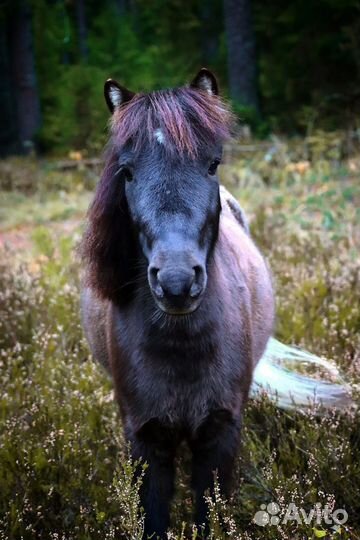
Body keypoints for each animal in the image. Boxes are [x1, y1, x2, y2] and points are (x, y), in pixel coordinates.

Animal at [81, 69, 352, 536]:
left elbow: (212, 513)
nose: (176, 282)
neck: (181, 347)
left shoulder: (220, 433)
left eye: (213, 163)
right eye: (127, 171)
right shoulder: (146, 439)